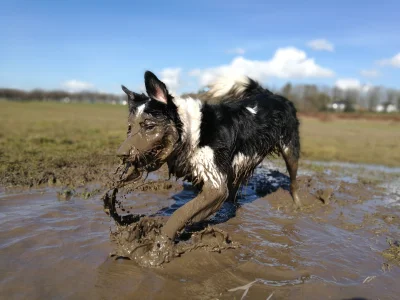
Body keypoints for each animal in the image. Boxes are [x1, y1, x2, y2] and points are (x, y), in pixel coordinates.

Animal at [117, 71, 302, 244]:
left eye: (149, 126)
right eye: (129, 128)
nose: (121, 154)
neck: (192, 131)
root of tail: (273, 95)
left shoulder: (216, 186)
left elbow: (181, 213)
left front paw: (160, 243)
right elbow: (193, 211)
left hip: (289, 150)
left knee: (293, 182)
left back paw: (297, 206)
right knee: (234, 191)